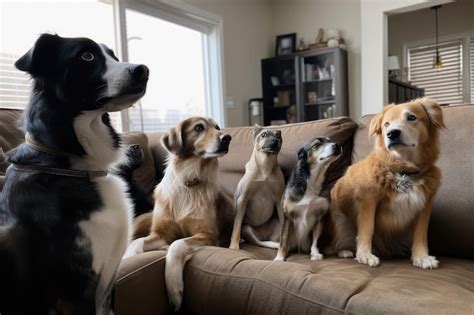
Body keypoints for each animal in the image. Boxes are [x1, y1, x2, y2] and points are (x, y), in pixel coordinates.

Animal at [0, 34, 148, 315]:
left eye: (112, 55)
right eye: (86, 56)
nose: (143, 70)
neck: (76, 166)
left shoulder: (108, 280)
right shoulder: (77, 289)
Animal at [123, 117, 232, 310]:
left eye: (217, 127)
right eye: (199, 127)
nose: (227, 138)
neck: (188, 181)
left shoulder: (209, 235)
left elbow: (177, 244)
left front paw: (174, 287)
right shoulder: (160, 234)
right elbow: (137, 242)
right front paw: (128, 259)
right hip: (140, 219)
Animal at [330, 98, 444, 270]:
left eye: (411, 117)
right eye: (386, 124)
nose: (392, 133)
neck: (403, 171)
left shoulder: (424, 205)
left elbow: (420, 233)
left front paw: (421, 257)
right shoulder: (368, 201)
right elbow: (367, 229)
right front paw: (364, 255)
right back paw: (345, 251)